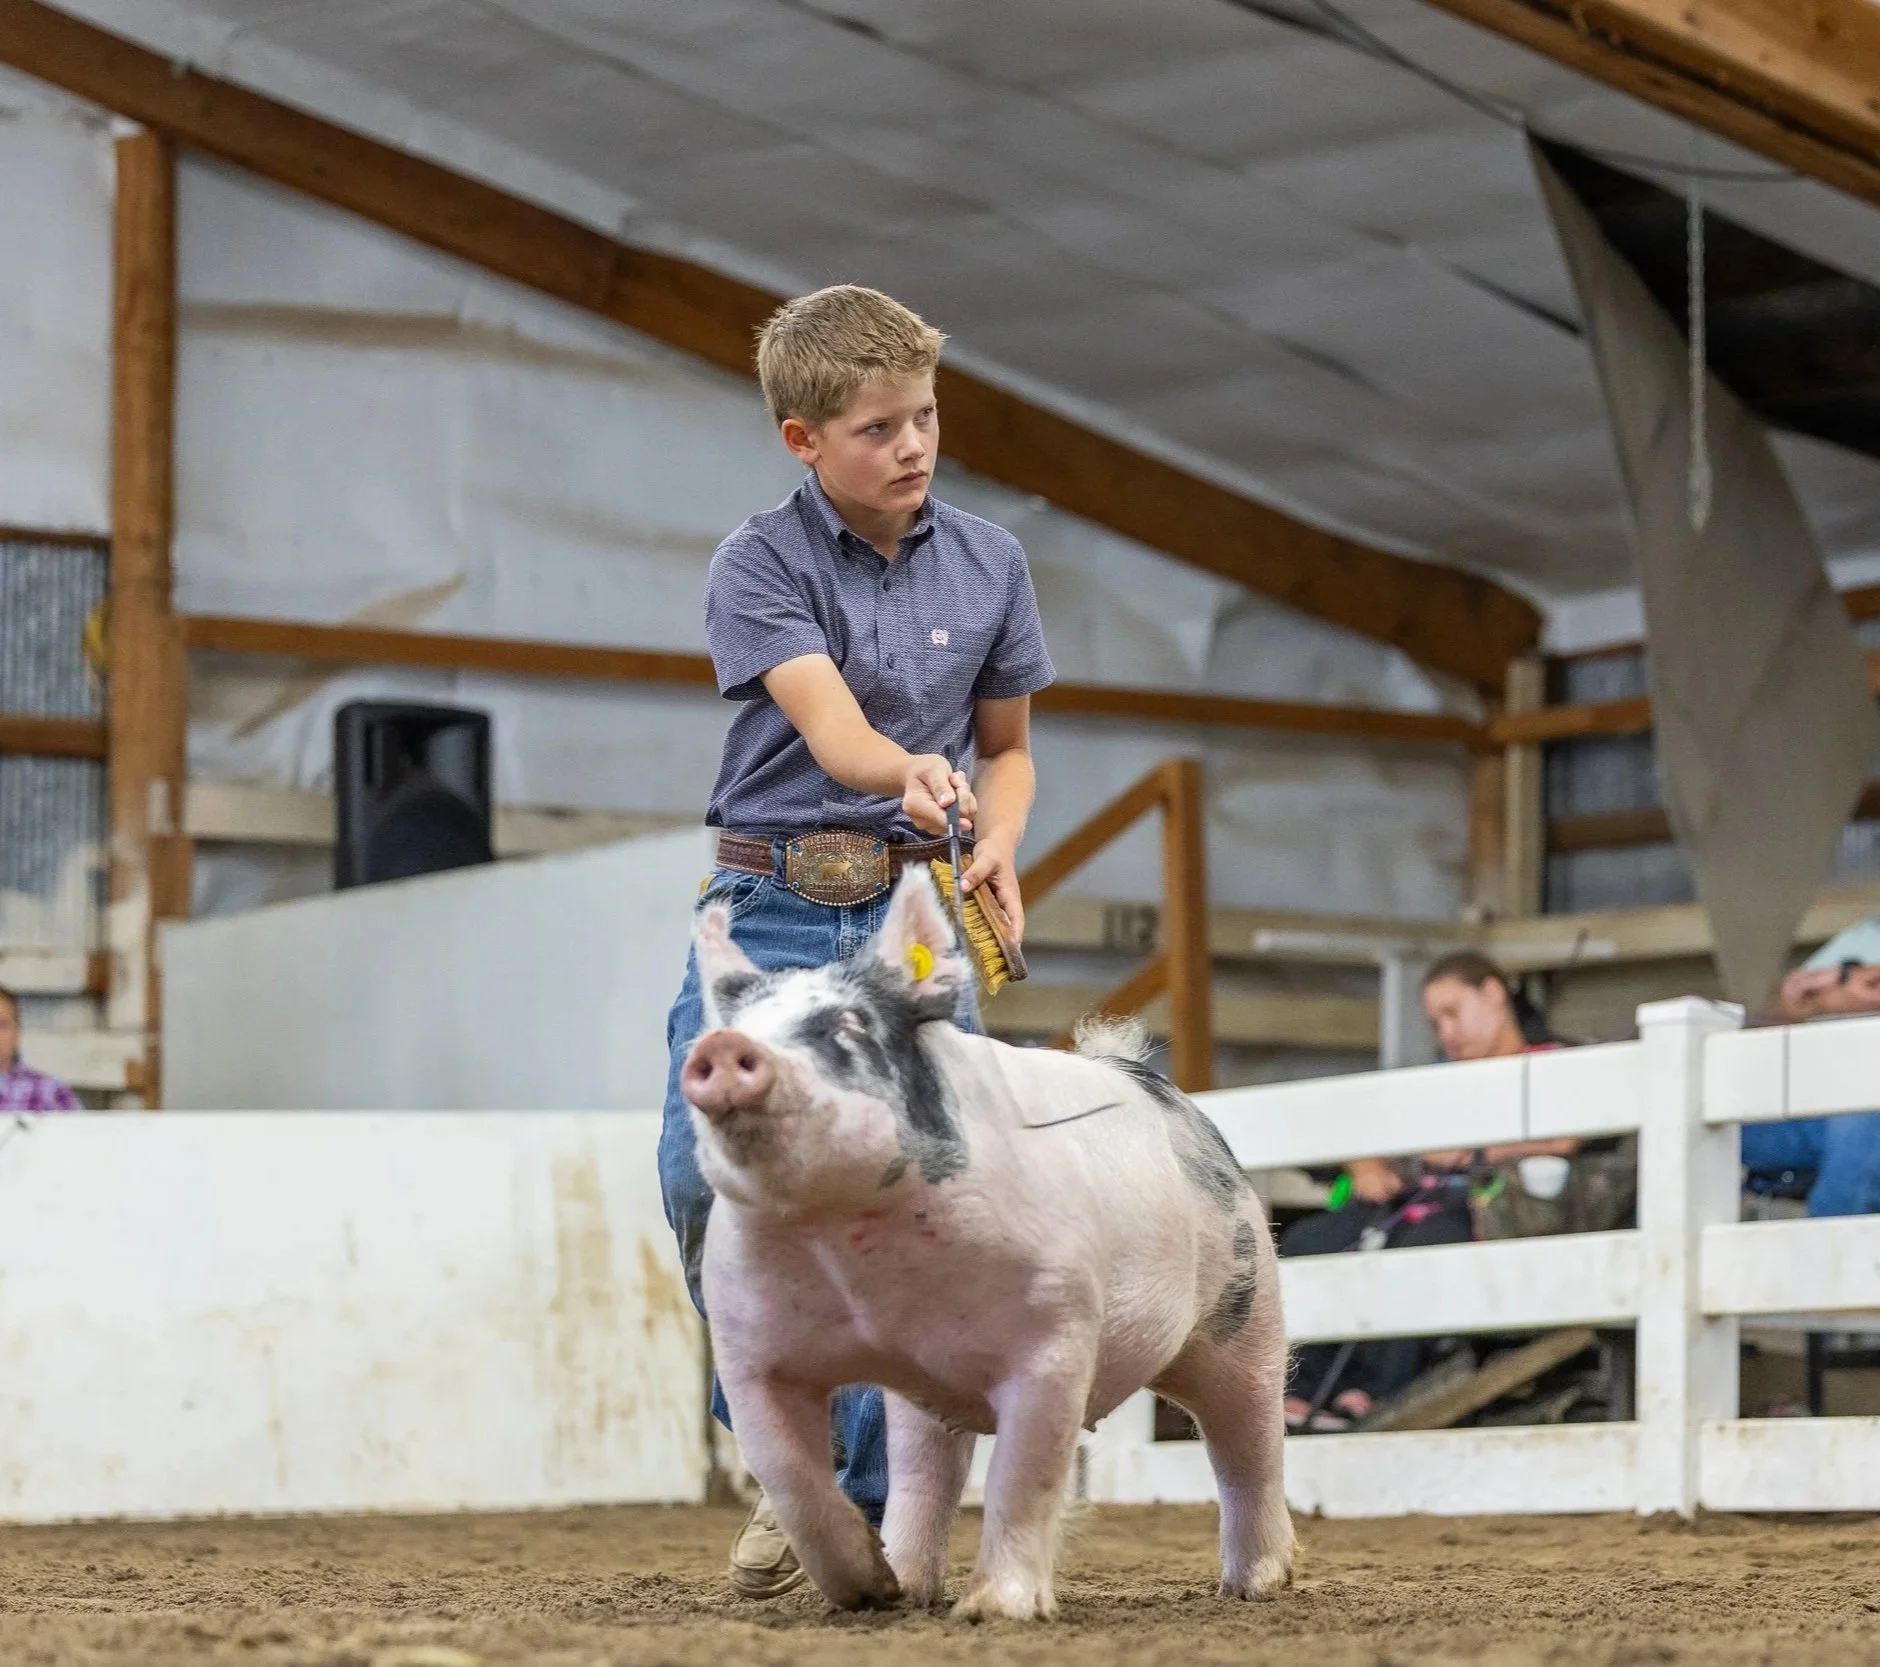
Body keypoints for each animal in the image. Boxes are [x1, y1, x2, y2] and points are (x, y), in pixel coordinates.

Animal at [681, 867, 1293, 1621]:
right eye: (725, 1029)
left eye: (850, 1025)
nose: (720, 1051)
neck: (864, 1273)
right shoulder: (752, 1352)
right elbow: (793, 1481)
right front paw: (866, 1592)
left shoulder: (1054, 1334)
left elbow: (1022, 1477)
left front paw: (995, 1611)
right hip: (923, 1397)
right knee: (927, 1472)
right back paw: (910, 1584)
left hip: (1247, 1304)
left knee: (1249, 1444)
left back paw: (1257, 1584)